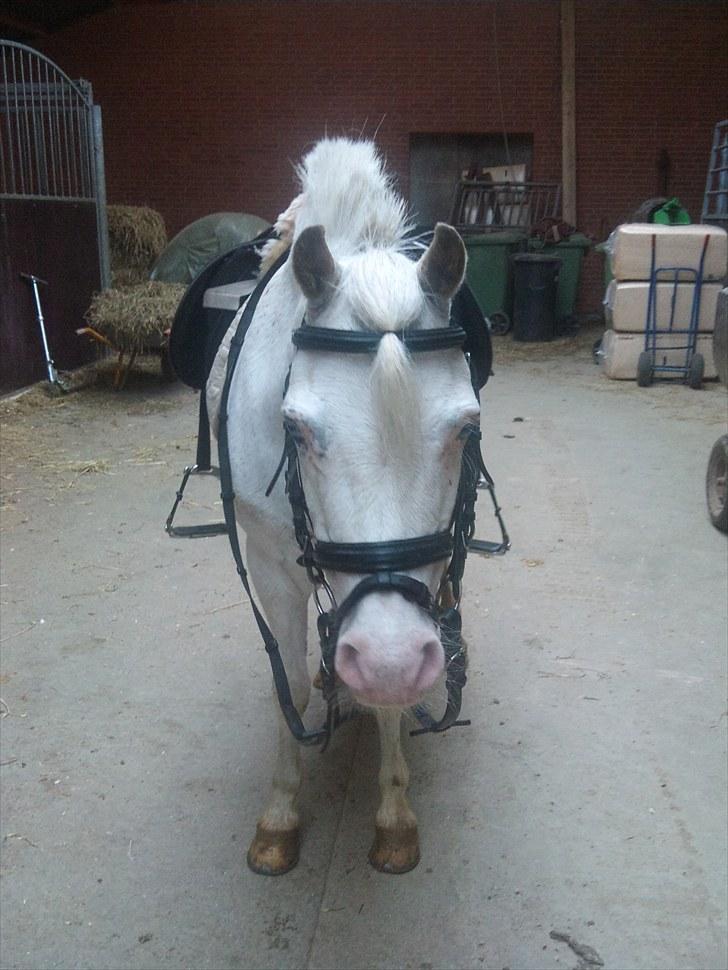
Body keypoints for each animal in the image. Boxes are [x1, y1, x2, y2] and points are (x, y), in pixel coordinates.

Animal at [206, 138, 480, 875]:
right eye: (296, 430)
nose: (386, 657)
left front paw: (393, 816)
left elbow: (393, 695)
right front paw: (279, 814)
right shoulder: (272, 568)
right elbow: (290, 687)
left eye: (464, 429)